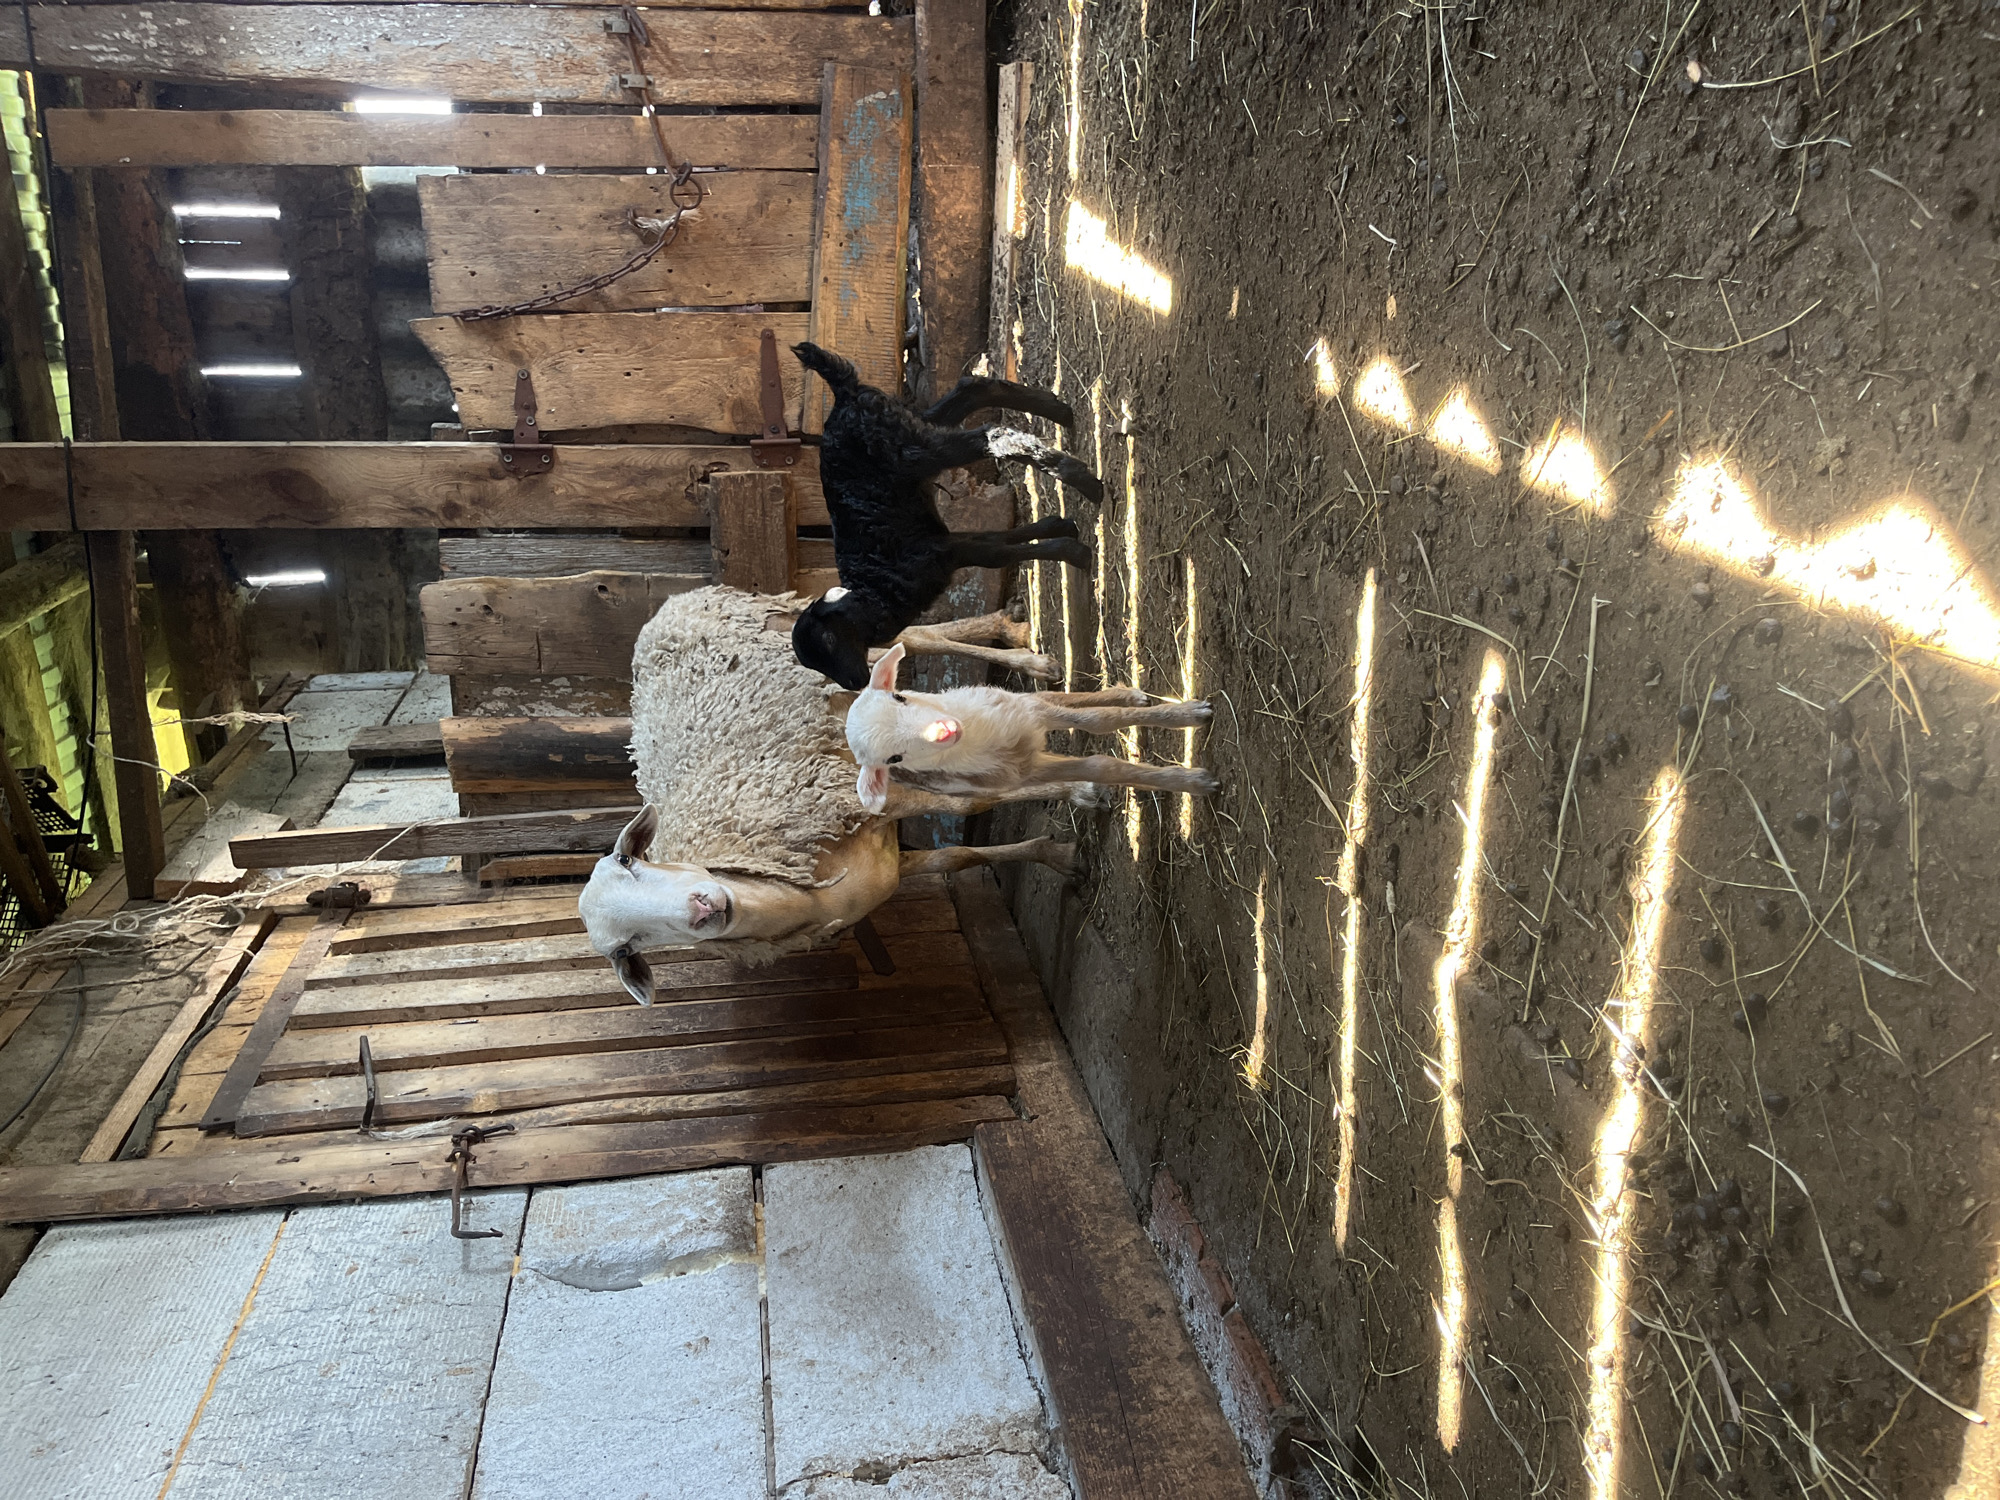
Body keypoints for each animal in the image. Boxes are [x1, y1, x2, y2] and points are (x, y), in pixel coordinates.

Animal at [577, 586, 1083, 1004]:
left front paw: (1076, 796)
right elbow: (958, 856)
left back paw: (1027, 650)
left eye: (628, 859)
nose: (702, 909)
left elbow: (971, 803)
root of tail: (665, 609)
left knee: (911, 635)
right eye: (623, 949)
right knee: (904, 642)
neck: (801, 899)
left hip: (796, 633)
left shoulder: (856, 798)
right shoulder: (888, 858)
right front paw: (1057, 852)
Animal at [788, 340, 1103, 690]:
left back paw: (1081, 477)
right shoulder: (943, 544)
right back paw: (1059, 412)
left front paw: (1074, 552)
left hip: (913, 449)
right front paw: (1060, 527)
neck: (873, 591)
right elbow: (996, 539)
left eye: (829, 640)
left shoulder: (939, 554)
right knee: (973, 390)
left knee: (991, 435)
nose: (855, 683)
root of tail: (844, 397)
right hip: (908, 423)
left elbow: (995, 553)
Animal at [844, 641, 1221, 814]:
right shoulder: (1020, 772)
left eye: (900, 696)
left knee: (1058, 697)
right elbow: (1101, 765)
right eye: (893, 759)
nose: (945, 730)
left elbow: (1099, 720)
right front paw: (1197, 783)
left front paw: (1190, 715)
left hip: (1014, 700)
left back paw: (1128, 695)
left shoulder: (1025, 712)